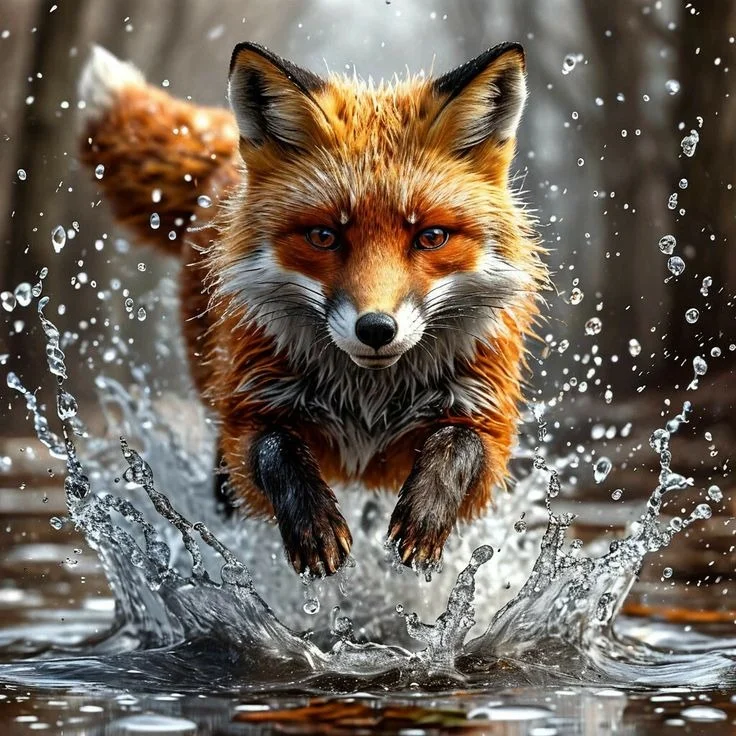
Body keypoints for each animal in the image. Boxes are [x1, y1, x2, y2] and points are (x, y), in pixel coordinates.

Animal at [77, 41, 546, 578]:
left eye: (431, 237)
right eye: (324, 236)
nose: (376, 329)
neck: (368, 402)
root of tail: (227, 150)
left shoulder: (486, 424)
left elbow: (456, 446)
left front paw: (424, 519)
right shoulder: (252, 411)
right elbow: (277, 450)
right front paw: (314, 528)